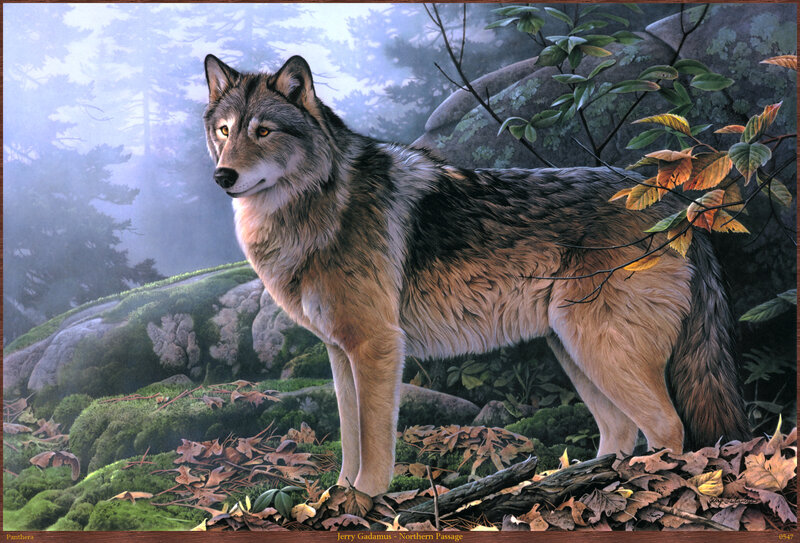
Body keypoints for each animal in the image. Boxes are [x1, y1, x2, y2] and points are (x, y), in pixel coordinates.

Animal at [203, 54, 749, 496]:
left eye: (264, 131)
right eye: (225, 131)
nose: (222, 177)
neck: (319, 203)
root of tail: (678, 207)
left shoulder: (378, 346)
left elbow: (375, 443)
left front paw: (365, 502)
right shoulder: (341, 352)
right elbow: (349, 437)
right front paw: (336, 500)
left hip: (602, 350)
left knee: (668, 430)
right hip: (576, 353)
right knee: (620, 432)